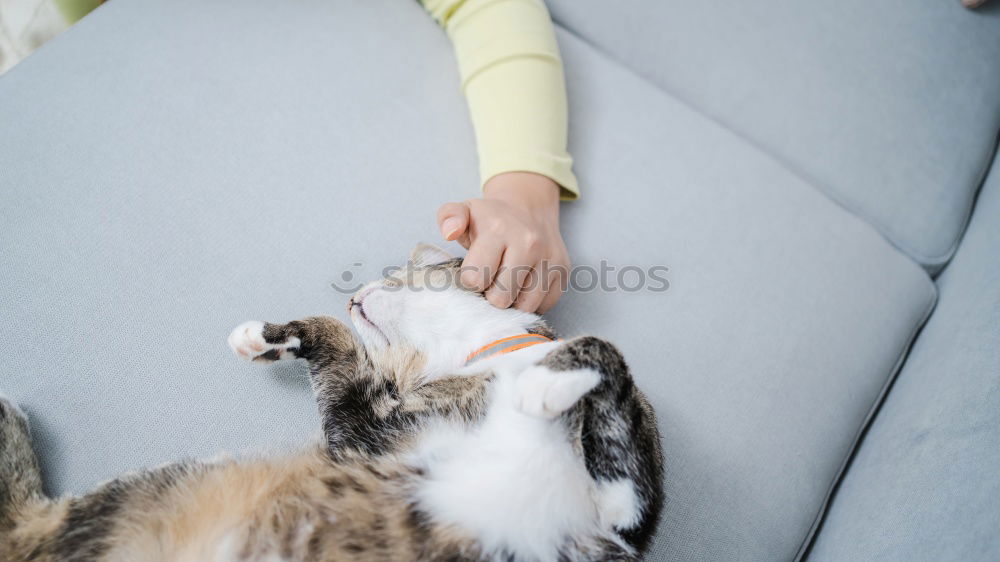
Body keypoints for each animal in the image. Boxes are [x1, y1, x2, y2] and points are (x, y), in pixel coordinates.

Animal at [0, 242, 664, 560]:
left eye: (395, 273)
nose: (355, 293)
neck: (486, 359)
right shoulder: (366, 435)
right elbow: (338, 343)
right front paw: (267, 338)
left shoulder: (627, 512)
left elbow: (602, 351)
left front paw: (547, 382)